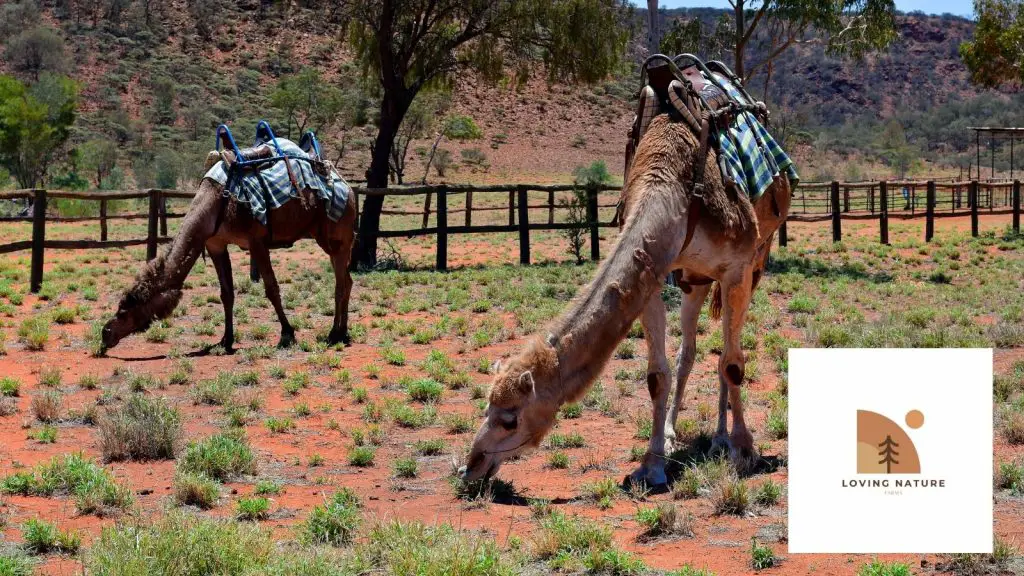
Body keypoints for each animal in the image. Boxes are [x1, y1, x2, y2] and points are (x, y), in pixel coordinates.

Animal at [99, 150, 356, 352]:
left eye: (125, 310)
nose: (105, 334)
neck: (214, 203)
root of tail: (349, 188)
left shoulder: (256, 240)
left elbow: (271, 288)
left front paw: (287, 333)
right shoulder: (215, 244)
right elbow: (226, 293)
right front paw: (225, 339)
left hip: (338, 235)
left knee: (340, 282)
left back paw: (334, 334)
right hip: (329, 240)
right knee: (347, 279)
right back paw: (344, 332)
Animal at [462, 115, 790, 483]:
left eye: (510, 419)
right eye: (485, 408)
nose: (471, 466)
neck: (680, 195)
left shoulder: (737, 268)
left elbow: (733, 364)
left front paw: (745, 449)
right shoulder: (653, 274)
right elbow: (657, 376)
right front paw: (653, 463)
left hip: (756, 262)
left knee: (726, 351)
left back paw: (722, 438)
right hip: (695, 281)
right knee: (688, 351)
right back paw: (677, 433)